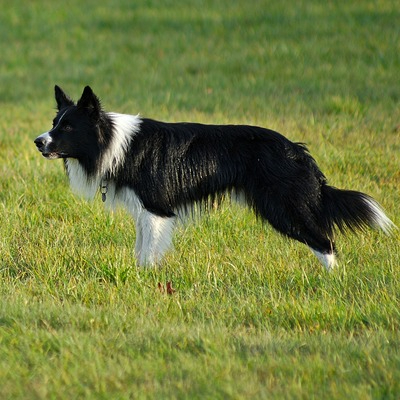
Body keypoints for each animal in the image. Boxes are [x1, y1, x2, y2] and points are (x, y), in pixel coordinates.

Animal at [34, 86, 394, 270]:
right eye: (54, 123)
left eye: (68, 127)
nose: (38, 141)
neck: (112, 141)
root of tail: (298, 152)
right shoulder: (145, 212)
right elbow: (140, 249)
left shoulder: (156, 209)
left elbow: (148, 252)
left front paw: (146, 281)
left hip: (283, 207)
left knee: (326, 243)